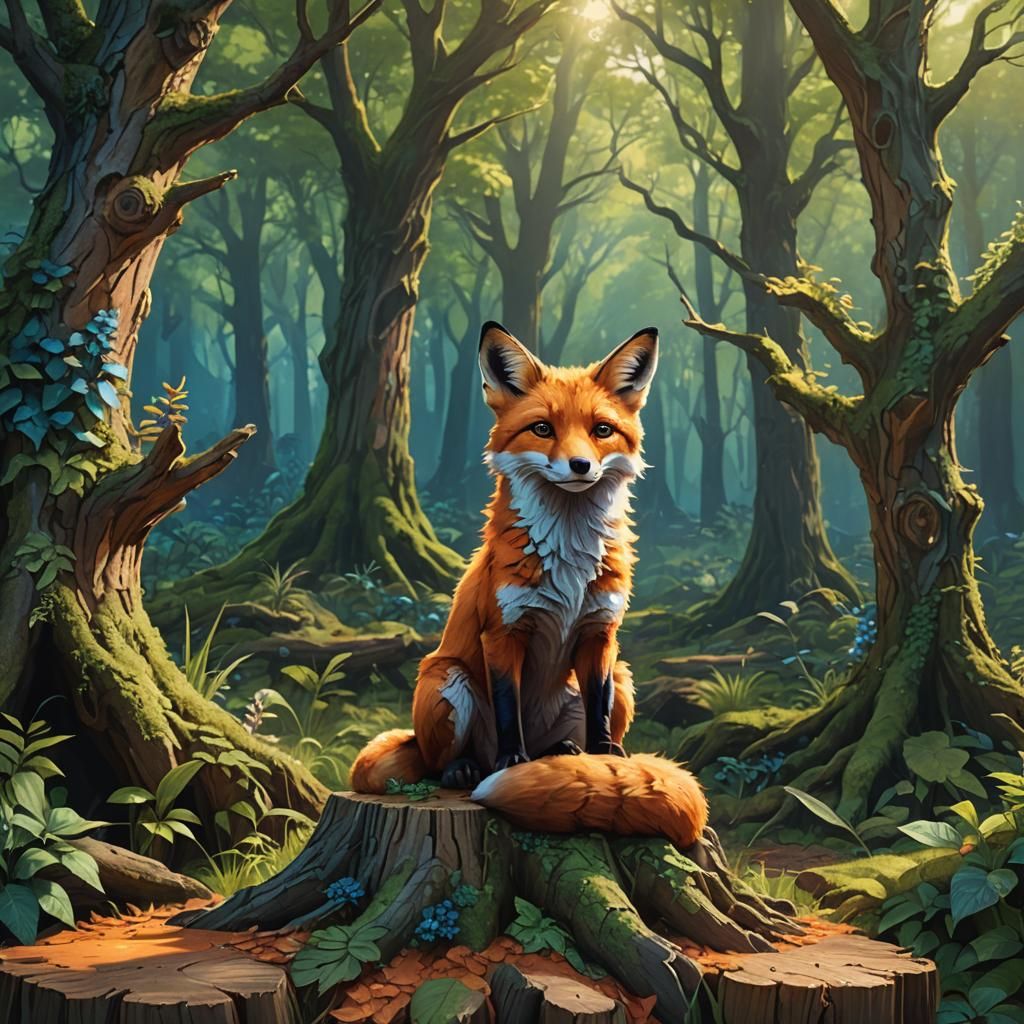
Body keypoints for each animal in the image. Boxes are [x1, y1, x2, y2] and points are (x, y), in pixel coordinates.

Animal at [351, 322, 708, 850]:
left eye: (602, 430)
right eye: (543, 429)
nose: (580, 466)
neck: (569, 559)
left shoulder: (600, 633)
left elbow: (598, 710)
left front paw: (603, 758)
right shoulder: (504, 632)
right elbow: (507, 708)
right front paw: (511, 763)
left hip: (624, 678)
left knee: (569, 734)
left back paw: (564, 751)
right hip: (446, 679)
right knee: (438, 762)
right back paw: (468, 768)